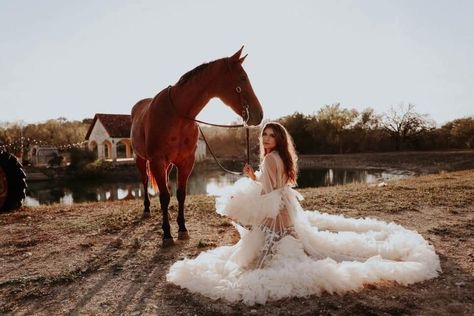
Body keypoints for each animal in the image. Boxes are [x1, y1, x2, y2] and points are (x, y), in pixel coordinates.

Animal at [131, 47, 262, 247]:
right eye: (242, 77)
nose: (259, 115)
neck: (177, 115)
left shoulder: (186, 162)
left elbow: (180, 194)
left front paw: (182, 229)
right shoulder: (157, 161)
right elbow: (164, 196)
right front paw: (167, 234)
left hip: (167, 165)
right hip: (142, 159)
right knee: (145, 181)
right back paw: (147, 209)